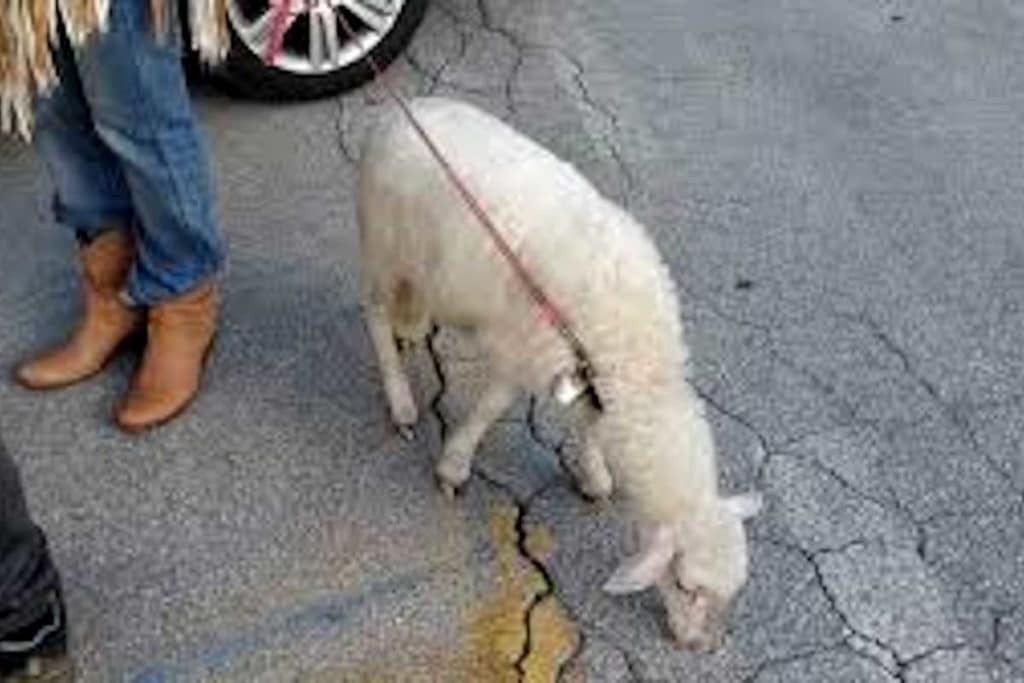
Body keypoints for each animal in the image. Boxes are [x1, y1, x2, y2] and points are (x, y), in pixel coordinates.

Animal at [357, 96, 762, 651]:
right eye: (682, 584)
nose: (700, 646)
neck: (637, 354)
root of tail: (397, 110)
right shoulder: (523, 351)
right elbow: (490, 409)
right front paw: (454, 467)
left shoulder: (589, 374)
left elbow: (590, 426)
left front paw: (593, 476)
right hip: (383, 248)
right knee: (375, 314)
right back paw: (399, 400)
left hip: (423, 262)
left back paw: (413, 329)